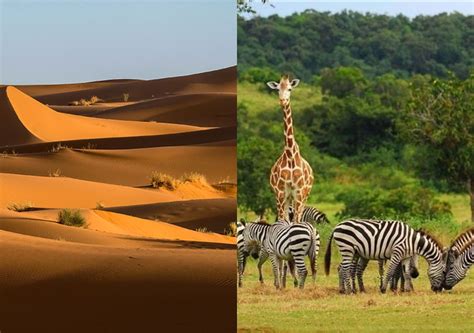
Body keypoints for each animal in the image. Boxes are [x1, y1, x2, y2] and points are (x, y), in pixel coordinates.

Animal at [266, 74, 314, 222]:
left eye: (290, 89)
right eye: (277, 89)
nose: (283, 101)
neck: (290, 155)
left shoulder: (299, 192)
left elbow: (296, 221)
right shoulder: (281, 192)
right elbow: (284, 221)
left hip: (304, 195)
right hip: (283, 197)